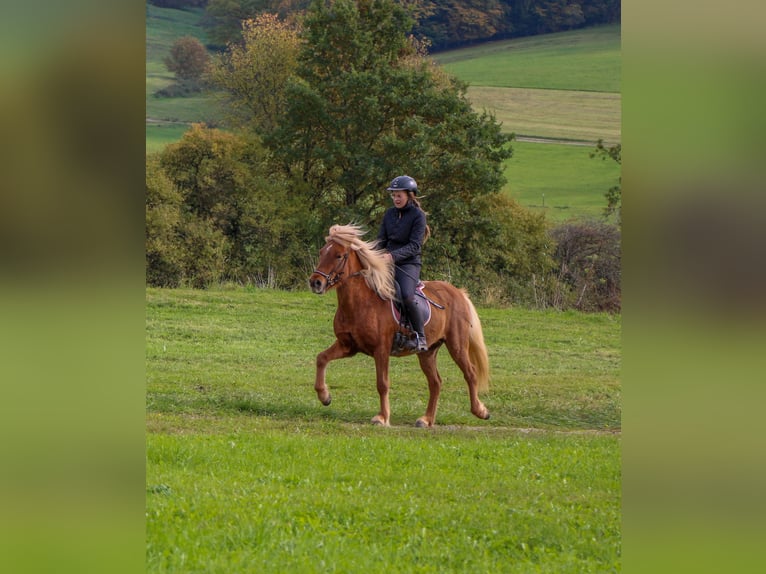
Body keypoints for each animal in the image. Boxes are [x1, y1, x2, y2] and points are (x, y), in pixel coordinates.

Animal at [309, 224, 490, 427]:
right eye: (322, 252)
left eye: (339, 255)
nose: (315, 282)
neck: (362, 302)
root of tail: (458, 293)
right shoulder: (348, 346)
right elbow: (321, 358)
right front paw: (324, 396)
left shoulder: (381, 349)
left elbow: (382, 383)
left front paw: (382, 417)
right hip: (427, 352)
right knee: (435, 382)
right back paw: (426, 420)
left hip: (457, 345)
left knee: (471, 373)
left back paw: (480, 411)